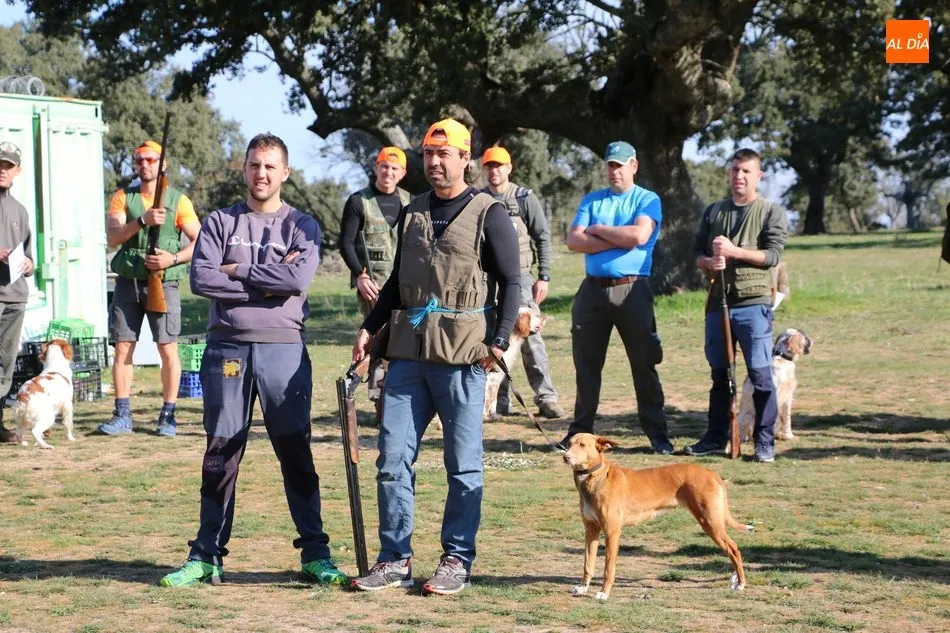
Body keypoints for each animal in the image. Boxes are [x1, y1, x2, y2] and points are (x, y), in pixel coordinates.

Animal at [563, 433, 753, 600]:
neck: (596, 478)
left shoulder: (612, 532)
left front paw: (604, 593)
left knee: (734, 549)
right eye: (569, 444)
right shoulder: (591, 530)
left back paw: (741, 583)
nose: (566, 457)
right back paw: (735, 580)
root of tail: (711, 473)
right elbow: (588, 564)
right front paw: (583, 587)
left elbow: (608, 569)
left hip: (710, 523)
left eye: (582, 445)